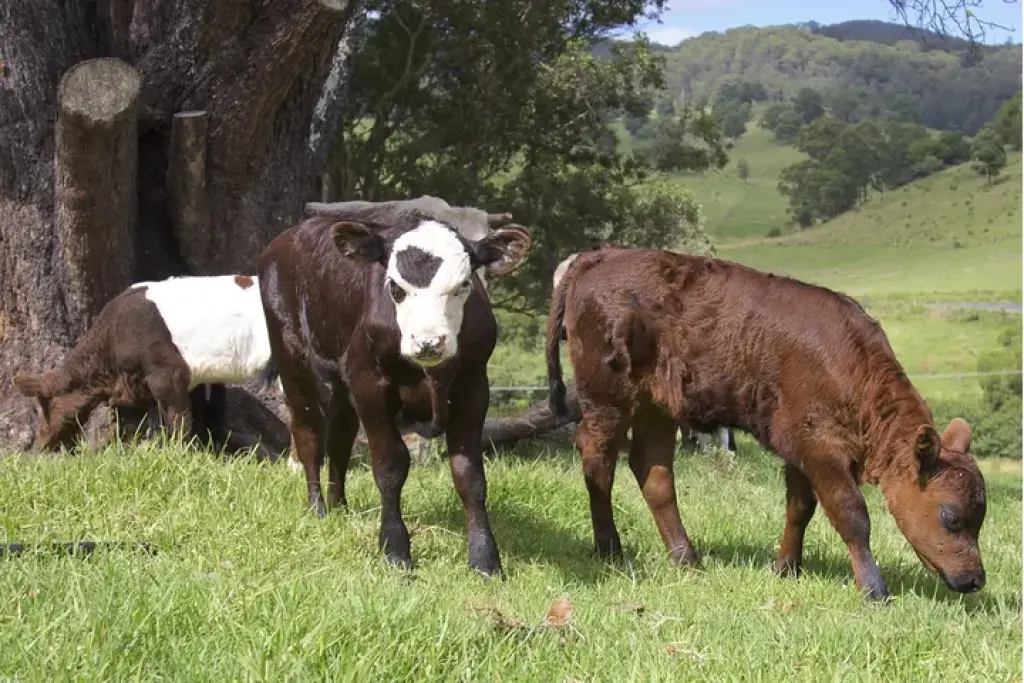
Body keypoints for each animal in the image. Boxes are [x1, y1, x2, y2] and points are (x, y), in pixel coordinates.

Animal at [12, 275, 277, 451]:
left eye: (38, 409)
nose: (39, 447)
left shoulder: (168, 375)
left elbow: (179, 419)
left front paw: (180, 454)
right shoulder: (133, 390)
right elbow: (131, 427)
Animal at [258, 211, 530, 576]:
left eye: (463, 285)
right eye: (395, 287)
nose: (429, 341)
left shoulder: (473, 386)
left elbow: (469, 473)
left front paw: (485, 559)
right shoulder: (370, 381)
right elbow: (389, 465)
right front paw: (395, 549)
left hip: (341, 381)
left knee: (340, 438)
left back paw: (339, 505)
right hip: (293, 359)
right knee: (309, 434)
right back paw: (318, 508)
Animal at [545, 246, 987, 601]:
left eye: (980, 518)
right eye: (951, 517)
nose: (975, 579)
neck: (851, 367)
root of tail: (599, 256)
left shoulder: (800, 450)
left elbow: (800, 509)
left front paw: (787, 568)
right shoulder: (820, 450)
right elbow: (852, 514)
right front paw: (874, 590)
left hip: (658, 407)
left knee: (652, 471)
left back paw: (687, 559)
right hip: (607, 398)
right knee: (598, 460)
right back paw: (610, 548)